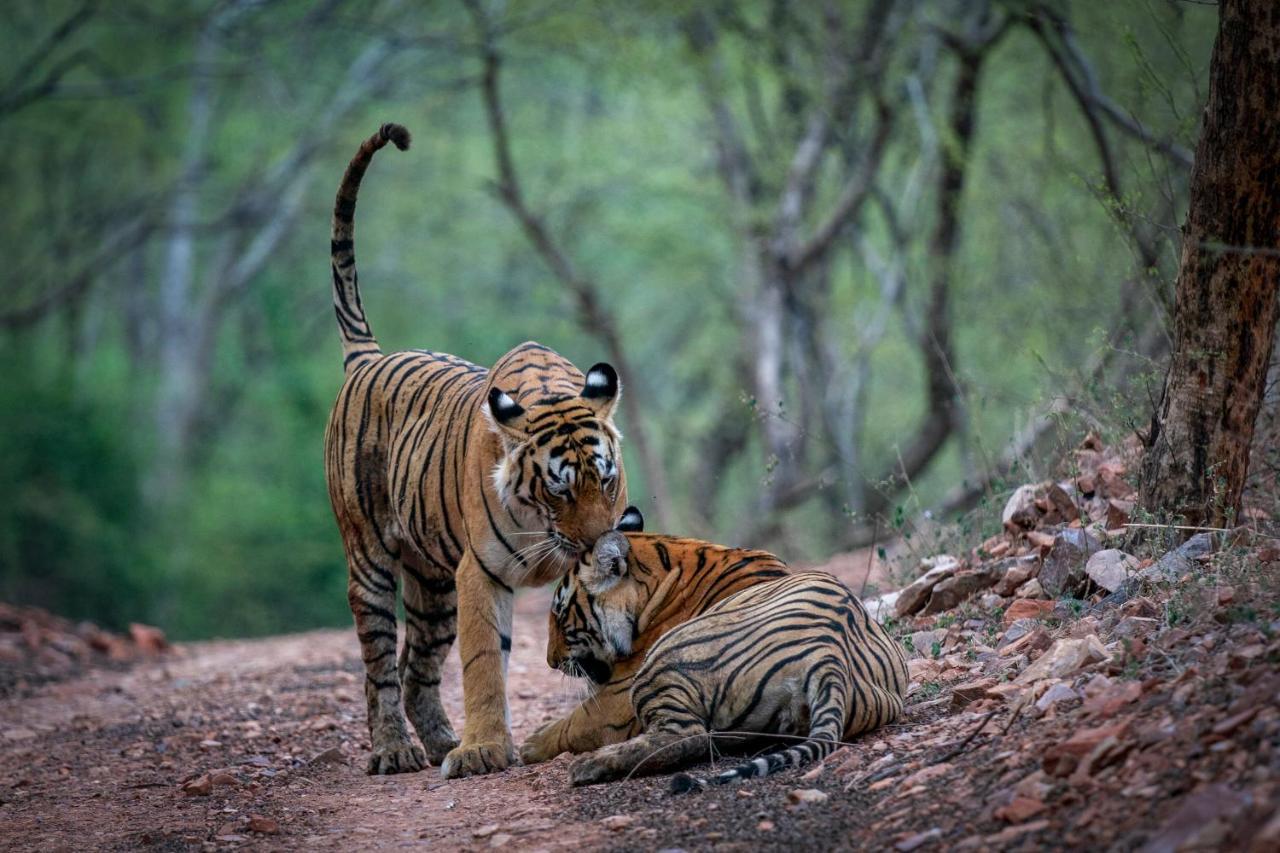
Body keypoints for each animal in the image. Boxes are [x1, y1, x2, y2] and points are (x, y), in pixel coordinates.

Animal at [322, 122, 627, 773]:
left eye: (607, 478)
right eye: (559, 489)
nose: (596, 549)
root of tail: (368, 356)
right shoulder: (479, 572)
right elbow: (484, 661)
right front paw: (486, 749)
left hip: (432, 584)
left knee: (416, 668)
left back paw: (441, 743)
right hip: (371, 559)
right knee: (380, 665)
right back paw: (395, 751)